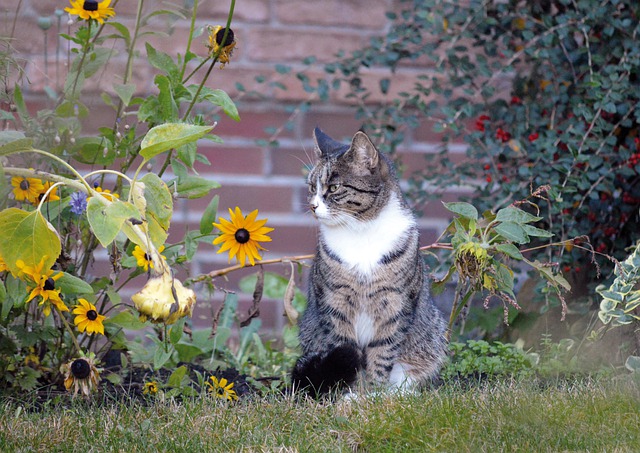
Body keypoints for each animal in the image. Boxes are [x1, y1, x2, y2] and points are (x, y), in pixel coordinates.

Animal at [292, 127, 448, 396]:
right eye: (312, 187)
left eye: (334, 187)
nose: (313, 206)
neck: (360, 231)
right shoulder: (335, 301)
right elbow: (346, 348)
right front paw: (351, 393)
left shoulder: (395, 304)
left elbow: (382, 352)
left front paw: (372, 395)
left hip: (431, 338)